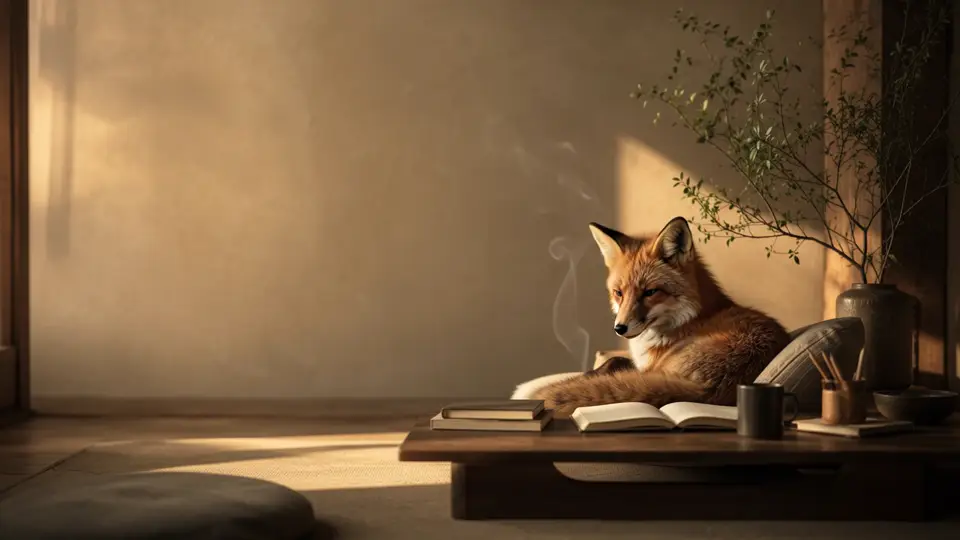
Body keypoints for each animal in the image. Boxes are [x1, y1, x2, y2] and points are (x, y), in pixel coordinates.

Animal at [511, 216, 791, 417]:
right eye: (619, 293)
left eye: (650, 292)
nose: (620, 328)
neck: (691, 319)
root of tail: (709, 388)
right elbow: (614, 362)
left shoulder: (645, 367)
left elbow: (613, 364)